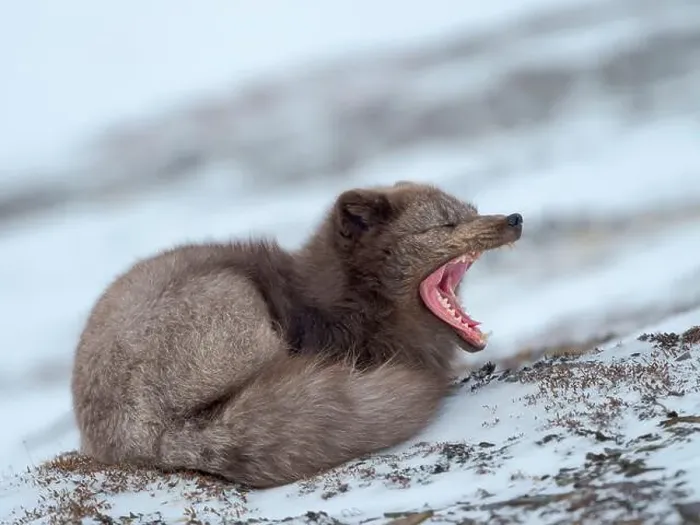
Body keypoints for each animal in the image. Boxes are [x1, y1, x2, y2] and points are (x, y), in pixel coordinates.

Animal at [71, 180, 523, 488]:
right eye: (446, 224)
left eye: (472, 210)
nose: (515, 219)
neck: (342, 303)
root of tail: (148, 441)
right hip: (234, 298)